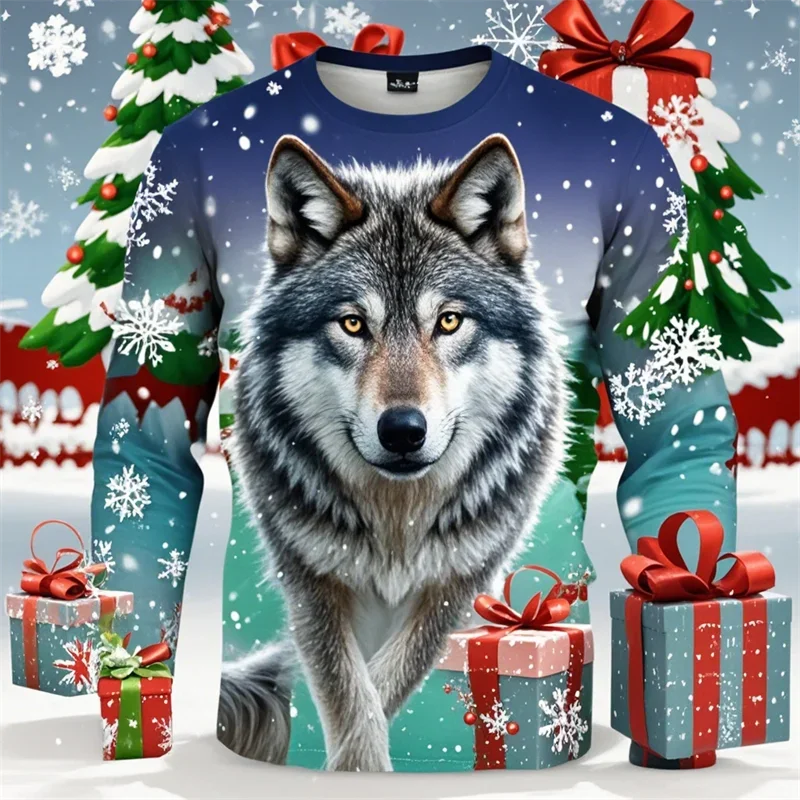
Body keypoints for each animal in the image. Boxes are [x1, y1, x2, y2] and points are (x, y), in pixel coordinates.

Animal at [219, 133, 568, 771]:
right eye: (353, 324)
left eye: (449, 321)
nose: (402, 430)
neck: (396, 520)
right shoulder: (310, 580)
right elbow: (350, 695)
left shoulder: (457, 584)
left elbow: (384, 684)